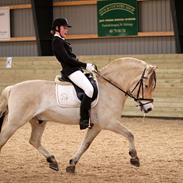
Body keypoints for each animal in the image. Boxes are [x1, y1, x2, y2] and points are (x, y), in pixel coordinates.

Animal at [0, 57, 156, 173]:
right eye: (146, 86)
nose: (149, 108)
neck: (109, 88)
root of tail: (12, 88)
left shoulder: (97, 126)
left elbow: (85, 144)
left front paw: (72, 164)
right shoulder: (109, 123)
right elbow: (130, 134)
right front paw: (134, 158)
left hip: (39, 121)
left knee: (34, 140)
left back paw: (52, 161)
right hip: (15, 122)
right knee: (4, 139)